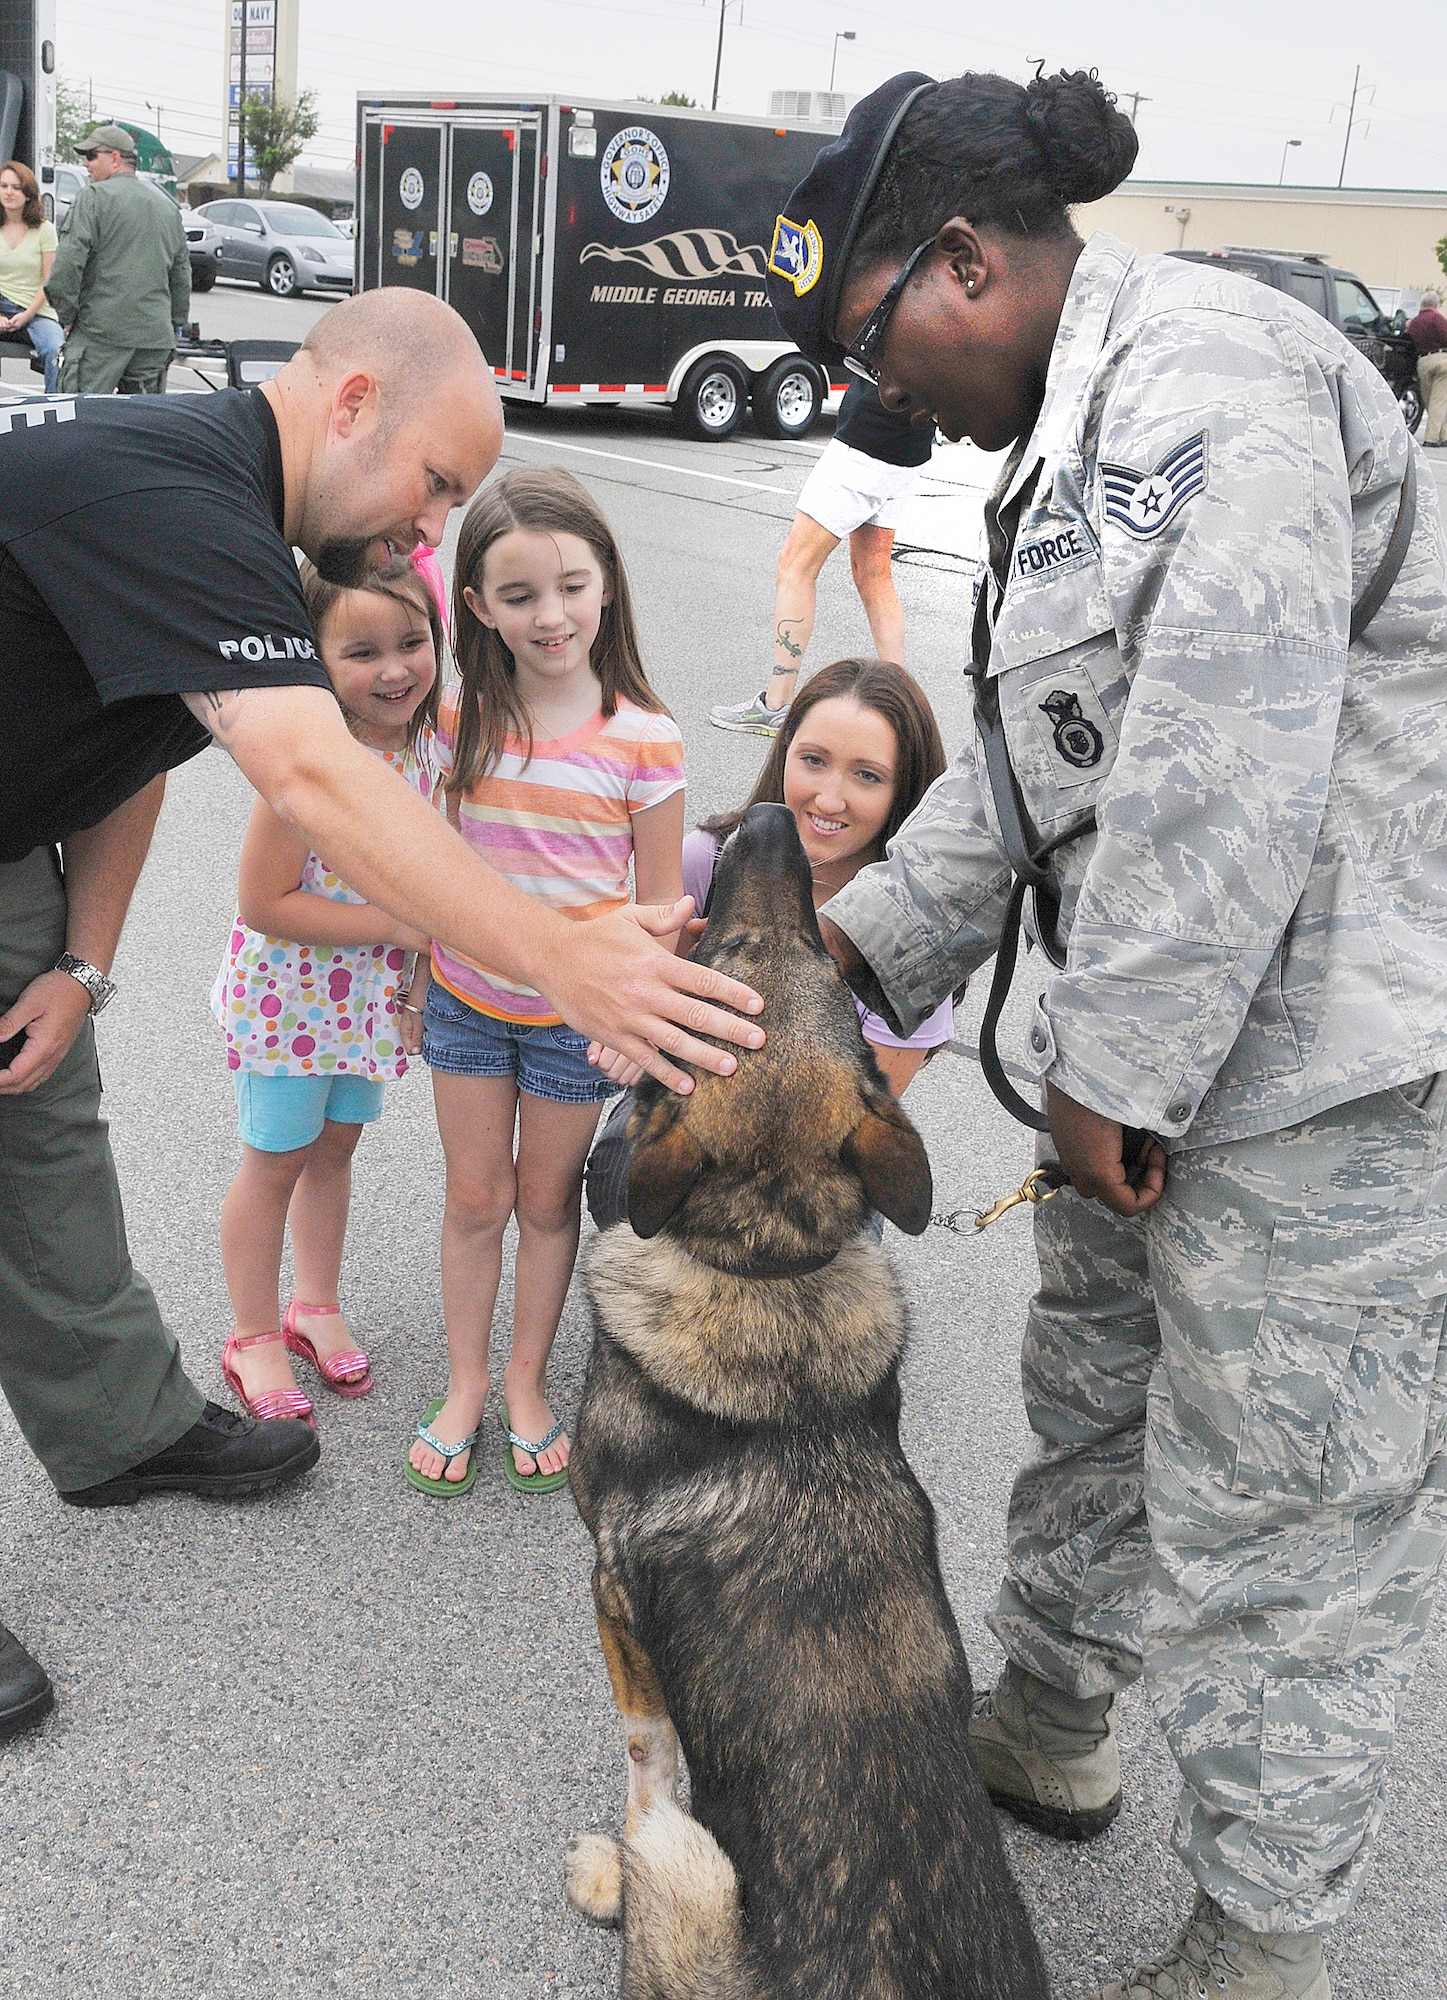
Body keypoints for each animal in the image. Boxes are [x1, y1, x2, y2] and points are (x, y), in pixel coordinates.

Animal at [563, 804, 1055, 2000]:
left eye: (735, 955)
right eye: (824, 965)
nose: (774, 814)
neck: (767, 1267)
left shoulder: (612, 1595)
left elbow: (646, 1752)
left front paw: (610, 1859)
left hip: (695, 1870)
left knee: (663, 1835)